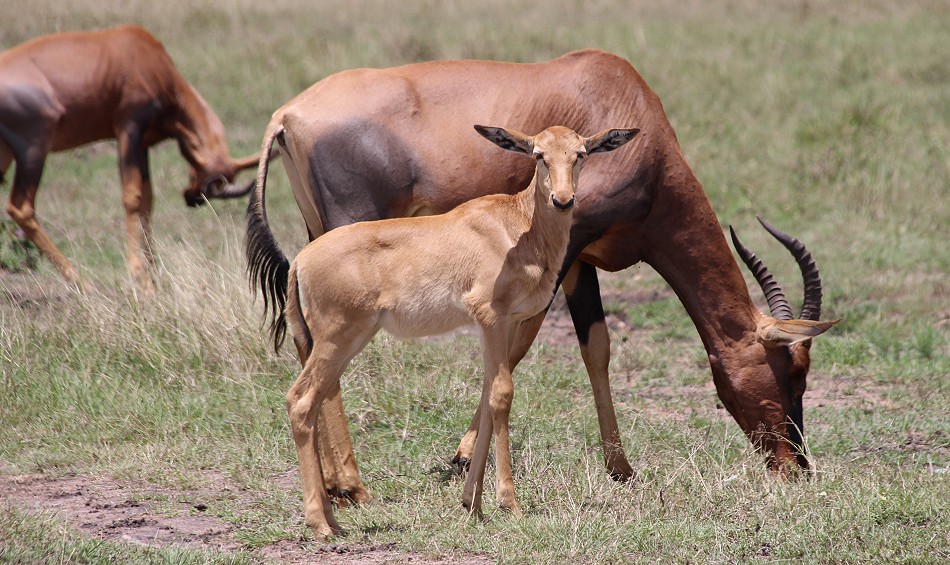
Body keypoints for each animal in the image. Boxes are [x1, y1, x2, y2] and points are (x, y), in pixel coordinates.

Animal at [0, 24, 260, 288]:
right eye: (210, 177)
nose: (192, 198)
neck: (144, 54)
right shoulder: (128, 129)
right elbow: (132, 197)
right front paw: (140, 276)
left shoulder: (142, 143)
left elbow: (147, 199)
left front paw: (154, 273)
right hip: (33, 151)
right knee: (21, 208)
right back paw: (83, 282)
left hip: (6, 151)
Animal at [247, 49, 840, 502]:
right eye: (793, 370)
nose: (796, 467)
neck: (621, 102)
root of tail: (288, 114)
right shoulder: (557, 248)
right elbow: (520, 345)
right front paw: (463, 462)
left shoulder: (578, 260)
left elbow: (596, 347)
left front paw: (621, 469)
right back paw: (350, 483)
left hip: (318, 240)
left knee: (307, 344)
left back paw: (333, 484)